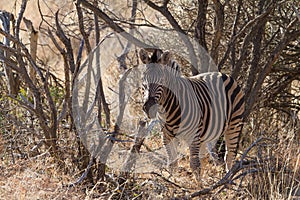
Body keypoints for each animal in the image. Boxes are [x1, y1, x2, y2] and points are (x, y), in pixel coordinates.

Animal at [139, 48, 245, 180]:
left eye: (162, 81)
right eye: (143, 80)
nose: (148, 107)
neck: (168, 110)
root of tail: (223, 74)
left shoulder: (194, 136)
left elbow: (194, 165)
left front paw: (197, 185)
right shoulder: (166, 136)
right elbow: (172, 164)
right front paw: (173, 181)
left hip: (234, 124)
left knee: (229, 156)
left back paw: (227, 181)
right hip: (206, 133)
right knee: (205, 158)